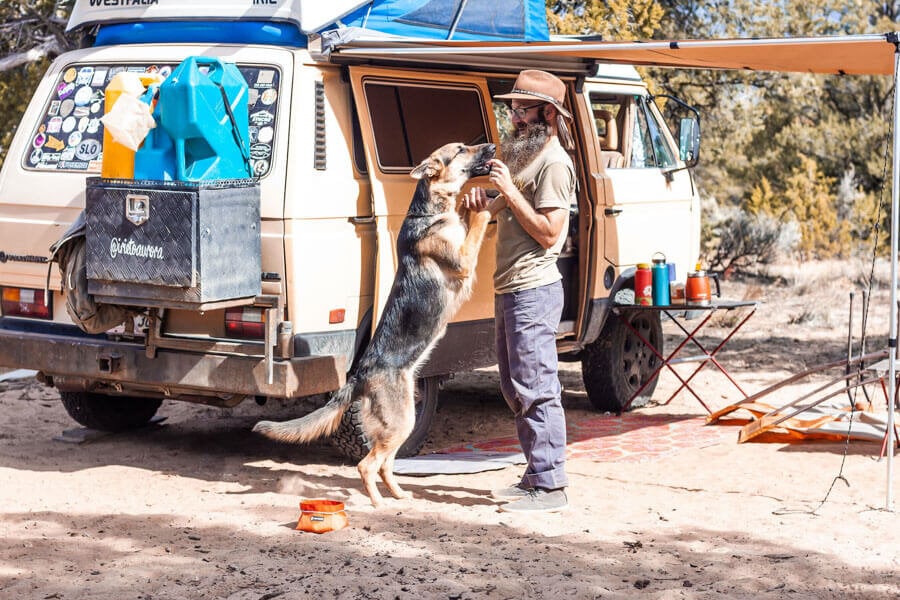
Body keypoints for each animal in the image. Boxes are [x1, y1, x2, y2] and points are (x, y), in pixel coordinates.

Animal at [250, 142, 496, 506]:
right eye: (462, 149)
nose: (492, 146)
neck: (430, 210)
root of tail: (359, 377)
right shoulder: (464, 259)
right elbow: (477, 221)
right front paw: (482, 202)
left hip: (401, 421)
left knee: (385, 465)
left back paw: (399, 496)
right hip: (403, 420)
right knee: (368, 465)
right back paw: (378, 503)